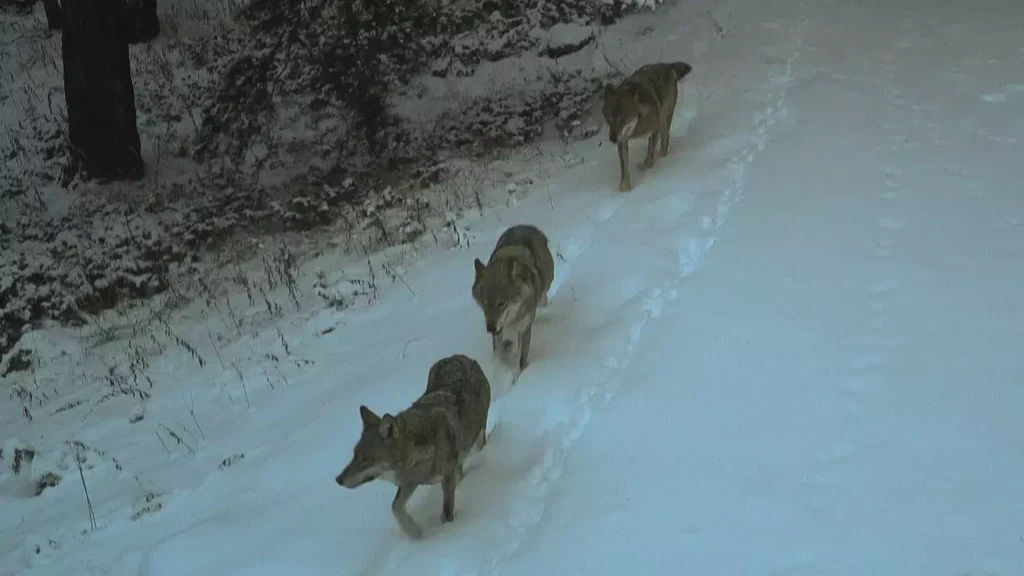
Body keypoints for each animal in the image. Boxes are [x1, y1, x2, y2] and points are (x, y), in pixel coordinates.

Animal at [335, 350, 491, 537]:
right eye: (355, 455)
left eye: (365, 459)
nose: (338, 480)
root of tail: (456, 356)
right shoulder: (409, 482)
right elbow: (395, 507)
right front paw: (415, 533)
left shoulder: (447, 476)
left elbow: (447, 513)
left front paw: (445, 533)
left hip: (479, 434)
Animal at [473, 222, 557, 375]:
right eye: (485, 303)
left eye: (502, 303)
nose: (490, 328)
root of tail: (526, 226)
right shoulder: (499, 330)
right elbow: (498, 352)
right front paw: (507, 349)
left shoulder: (523, 330)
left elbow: (521, 361)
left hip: (545, 287)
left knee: (543, 299)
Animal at [598, 60, 696, 190]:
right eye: (609, 120)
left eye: (622, 120)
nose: (612, 139)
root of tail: (666, 65)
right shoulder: (622, 140)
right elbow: (624, 167)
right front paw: (625, 187)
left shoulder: (654, 131)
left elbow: (650, 157)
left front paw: (647, 168)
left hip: (663, 122)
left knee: (665, 140)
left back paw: (663, 158)